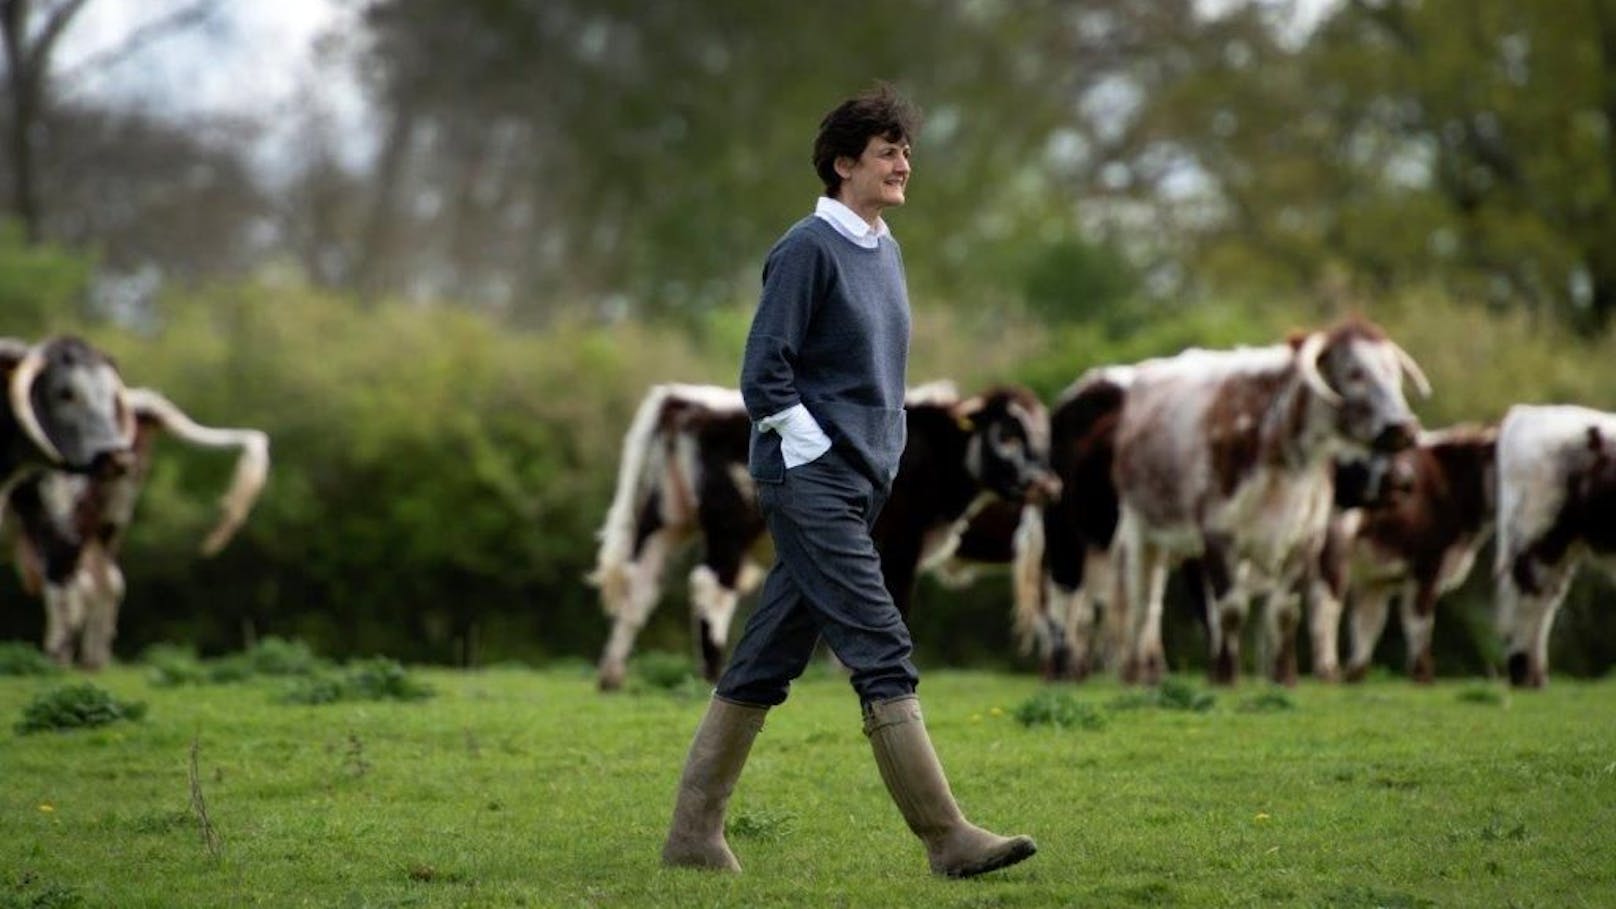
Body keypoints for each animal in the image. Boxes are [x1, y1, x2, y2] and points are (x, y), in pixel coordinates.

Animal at [7, 384, 266, 669]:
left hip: (61, 511)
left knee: (70, 586)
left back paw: (55, 662)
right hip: (110, 516)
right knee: (106, 582)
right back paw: (92, 661)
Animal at [594, 378, 1060, 682]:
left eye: (1043, 435)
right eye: (1008, 433)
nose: (1047, 485)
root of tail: (689, 401)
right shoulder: (902, 542)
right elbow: (892, 604)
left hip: (664, 520)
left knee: (638, 588)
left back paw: (612, 675)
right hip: (728, 528)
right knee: (711, 589)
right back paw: (710, 670)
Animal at [1111, 321, 1428, 682]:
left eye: (1395, 373)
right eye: (1354, 372)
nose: (1404, 428)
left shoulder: (1305, 541)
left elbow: (1285, 611)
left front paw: (1284, 675)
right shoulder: (1218, 534)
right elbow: (1230, 608)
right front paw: (1225, 674)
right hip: (1140, 530)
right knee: (1141, 601)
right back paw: (1136, 671)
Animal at [1305, 423, 1493, 679]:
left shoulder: (1376, 578)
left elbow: (1368, 621)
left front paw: (1356, 673)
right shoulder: (1428, 563)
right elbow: (1419, 619)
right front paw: (1422, 673)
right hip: (1334, 541)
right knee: (1325, 602)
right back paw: (1327, 669)